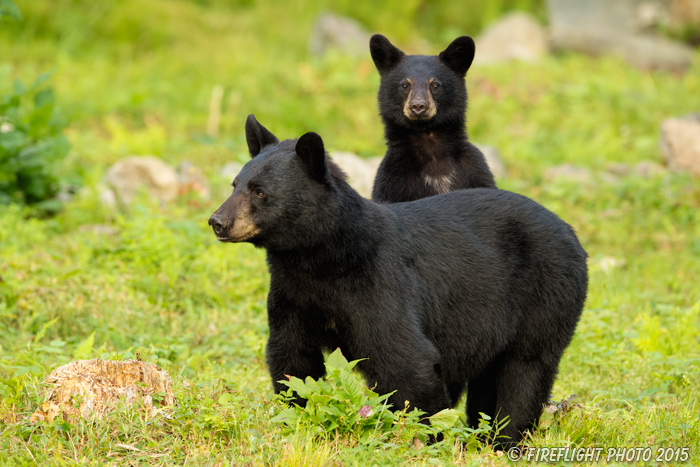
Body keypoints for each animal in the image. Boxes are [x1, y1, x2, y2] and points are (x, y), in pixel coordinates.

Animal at [211, 115, 588, 448]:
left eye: (260, 191)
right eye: (235, 184)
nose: (218, 221)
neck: (321, 261)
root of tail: (571, 232)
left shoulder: (377, 285)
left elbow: (404, 360)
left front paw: (426, 440)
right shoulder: (293, 296)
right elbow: (294, 361)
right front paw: (300, 421)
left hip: (544, 293)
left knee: (526, 371)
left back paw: (506, 442)